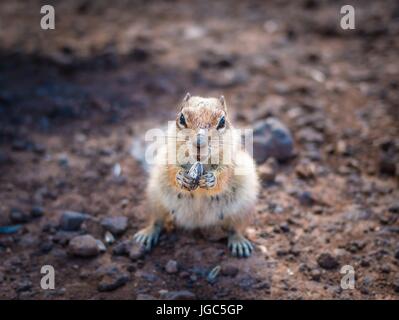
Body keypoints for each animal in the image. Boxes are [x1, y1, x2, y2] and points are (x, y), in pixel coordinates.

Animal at [134, 92, 260, 258]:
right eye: (182, 118)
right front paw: (181, 177)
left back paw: (239, 243)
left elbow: (226, 174)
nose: (199, 142)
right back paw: (147, 234)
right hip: (155, 199)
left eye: (222, 121)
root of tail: (197, 222)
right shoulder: (168, 155)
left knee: (235, 228)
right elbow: (171, 169)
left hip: (243, 209)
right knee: (157, 220)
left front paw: (212, 179)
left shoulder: (232, 159)